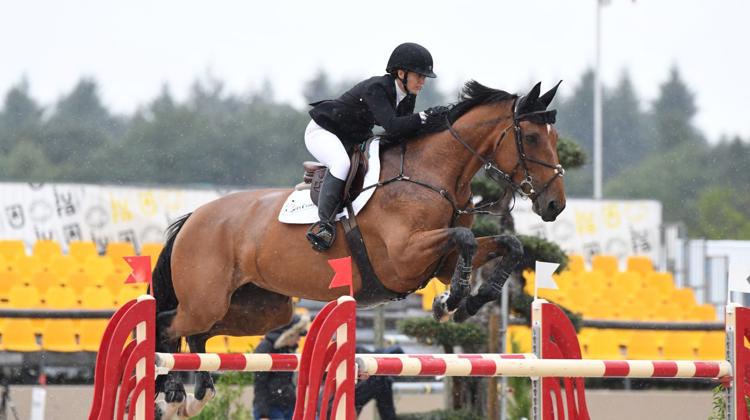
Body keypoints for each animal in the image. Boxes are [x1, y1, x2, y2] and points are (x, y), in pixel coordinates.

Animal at [151, 79, 564, 416]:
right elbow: (462, 240)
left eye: (555, 139)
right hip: (208, 299)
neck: (432, 176)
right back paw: (171, 394)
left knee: (198, 333)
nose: (554, 206)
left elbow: (507, 244)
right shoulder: (405, 256)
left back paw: (198, 394)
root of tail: (194, 217)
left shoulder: (441, 262)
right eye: (530, 138)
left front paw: (469, 302)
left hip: (260, 309)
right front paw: (451, 301)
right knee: (168, 325)